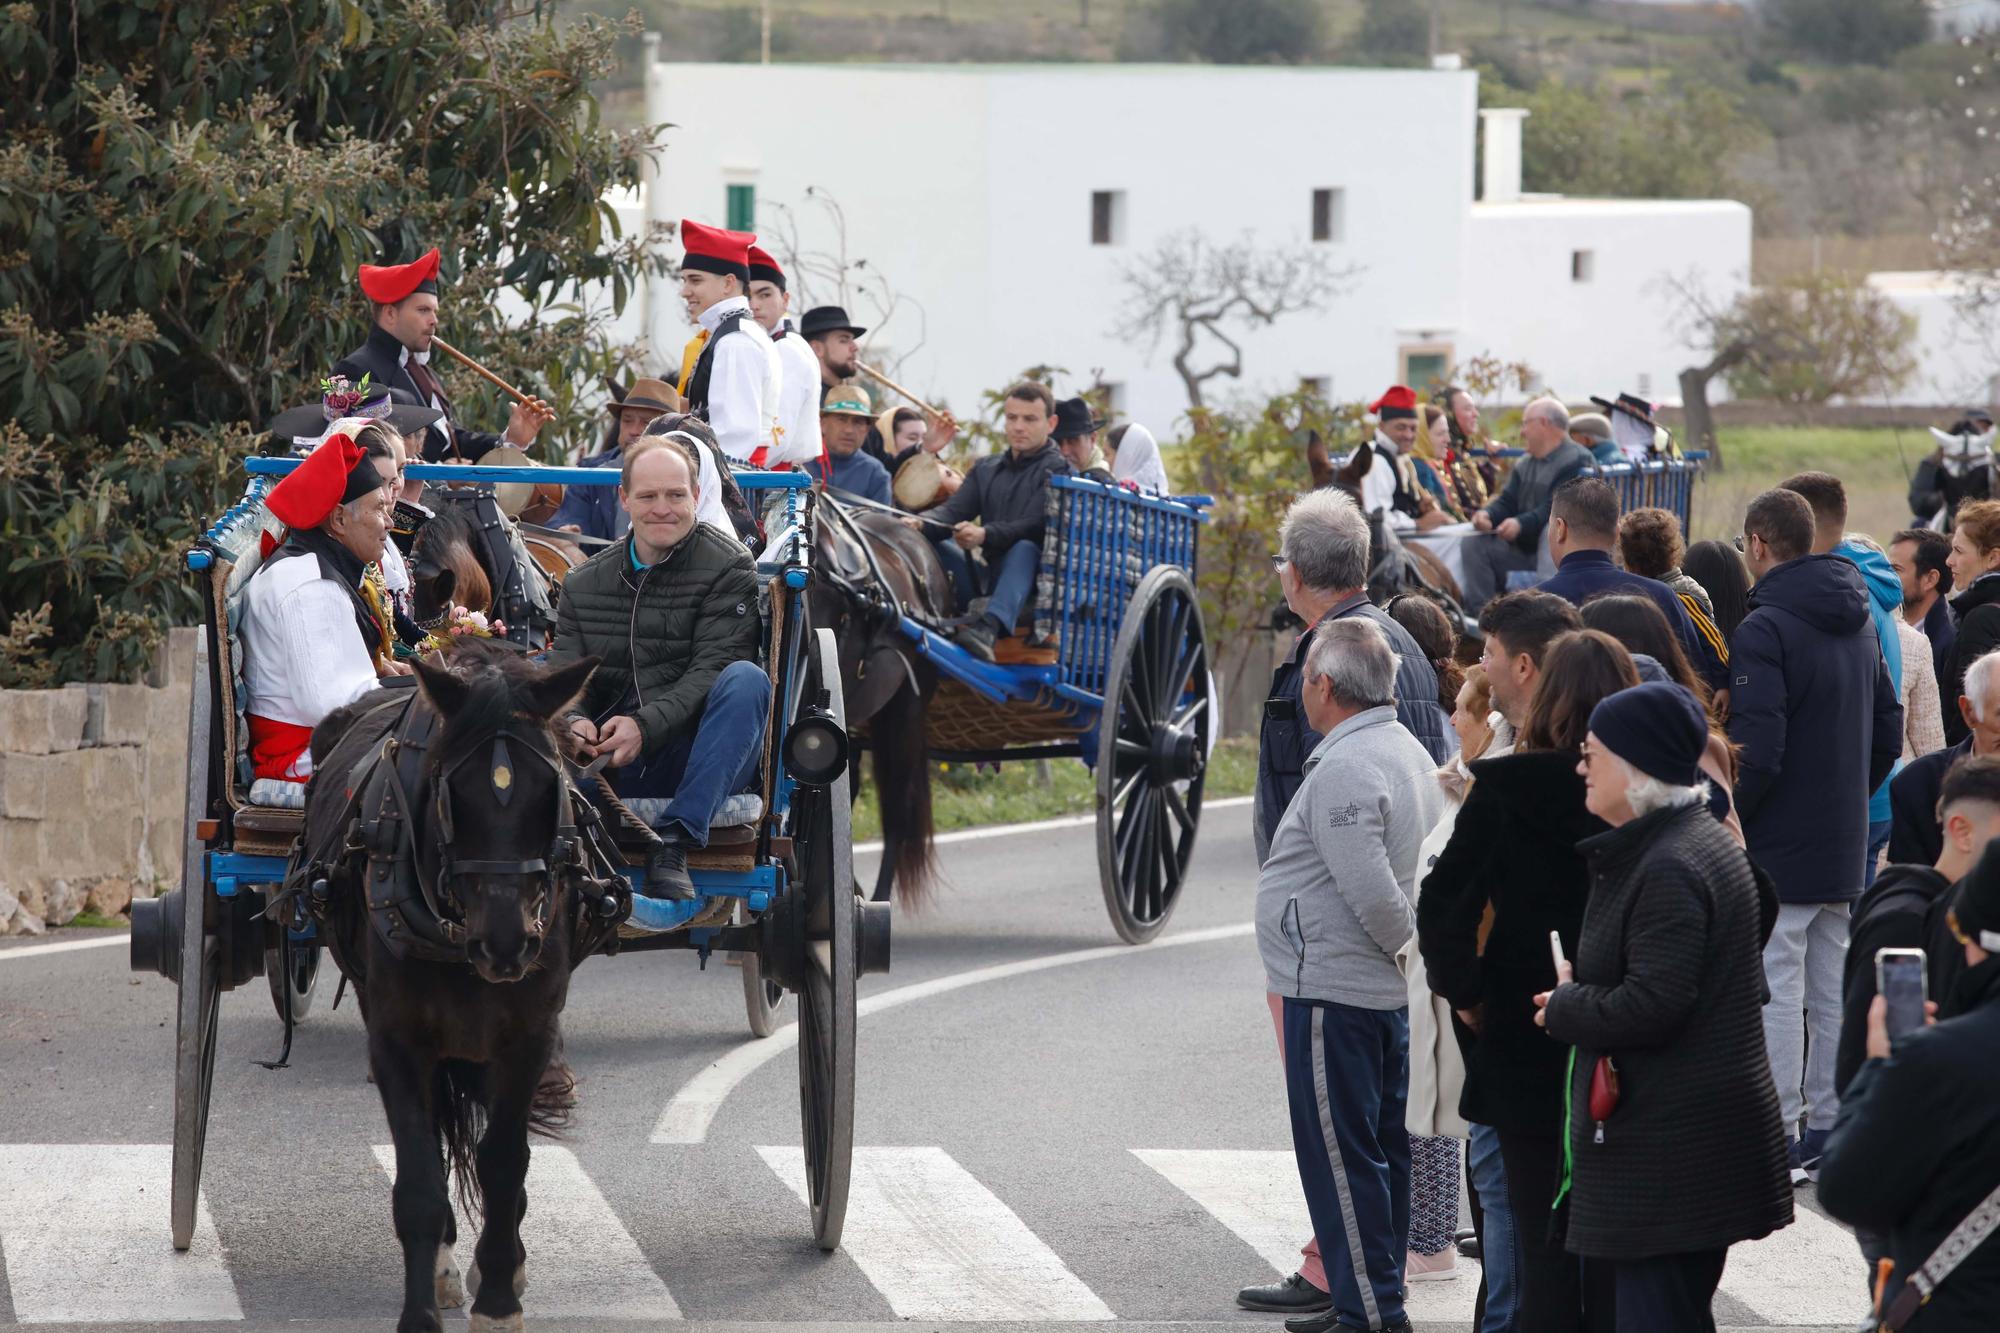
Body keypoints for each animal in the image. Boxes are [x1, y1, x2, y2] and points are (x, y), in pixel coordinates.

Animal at [300, 640, 604, 1320]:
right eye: (451, 794)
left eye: (552, 789)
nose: (507, 943)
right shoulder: (397, 1039)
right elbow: (419, 1180)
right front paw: (422, 1306)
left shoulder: (527, 1036)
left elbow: (504, 1162)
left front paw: (498, 1297)